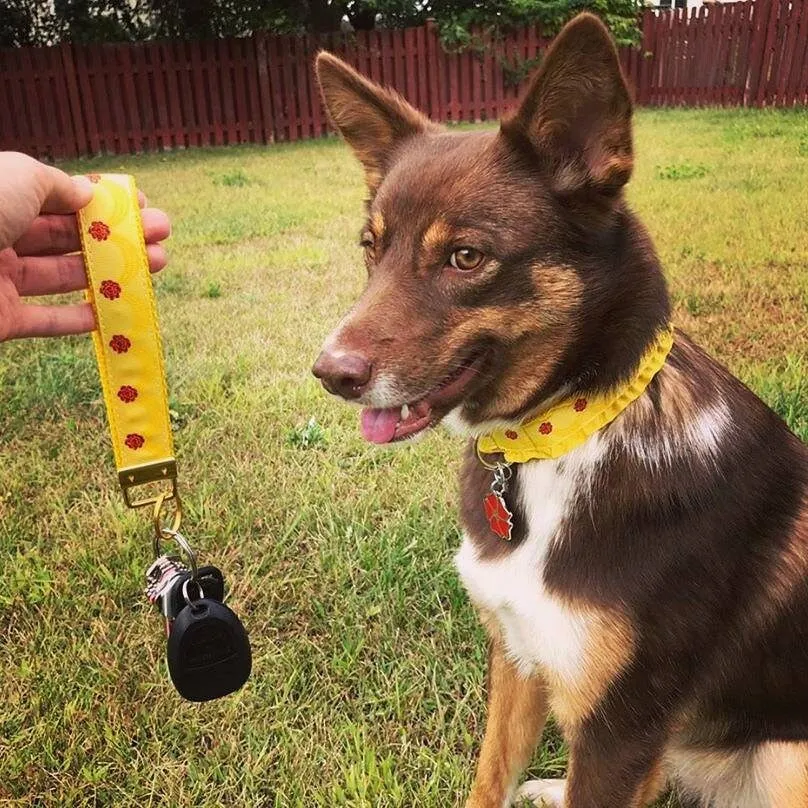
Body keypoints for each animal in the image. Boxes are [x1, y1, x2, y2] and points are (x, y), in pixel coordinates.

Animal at [310, 14, 808, 808]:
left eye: (466, 256)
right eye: (371, 247)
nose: (330, 374)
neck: (562, 435)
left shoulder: (621, 726)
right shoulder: (518, 654)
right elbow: (489, 778)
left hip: (786, 756)